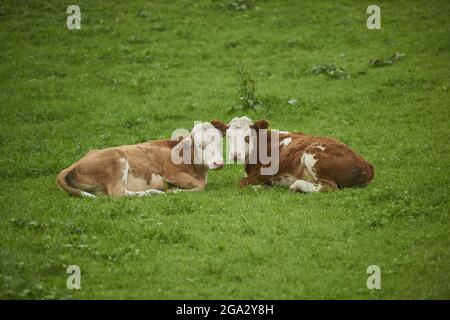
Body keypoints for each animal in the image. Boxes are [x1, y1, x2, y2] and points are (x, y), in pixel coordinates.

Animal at [56, 122, 225, 198]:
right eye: (200, 145)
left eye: (219, 142)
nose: (219, 163)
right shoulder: (172, 174)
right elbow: (200, 186)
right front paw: (174, 190)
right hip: (118, 160)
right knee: (118, 193)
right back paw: (153, 192)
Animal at [213, 117, 374, 192]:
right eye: (228, 137)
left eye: (247, 137)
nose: (235, 155)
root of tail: (367, 166)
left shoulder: (263, 174)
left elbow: (241, 182)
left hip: (312, 154)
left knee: (329, 187)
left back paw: (296, 186)